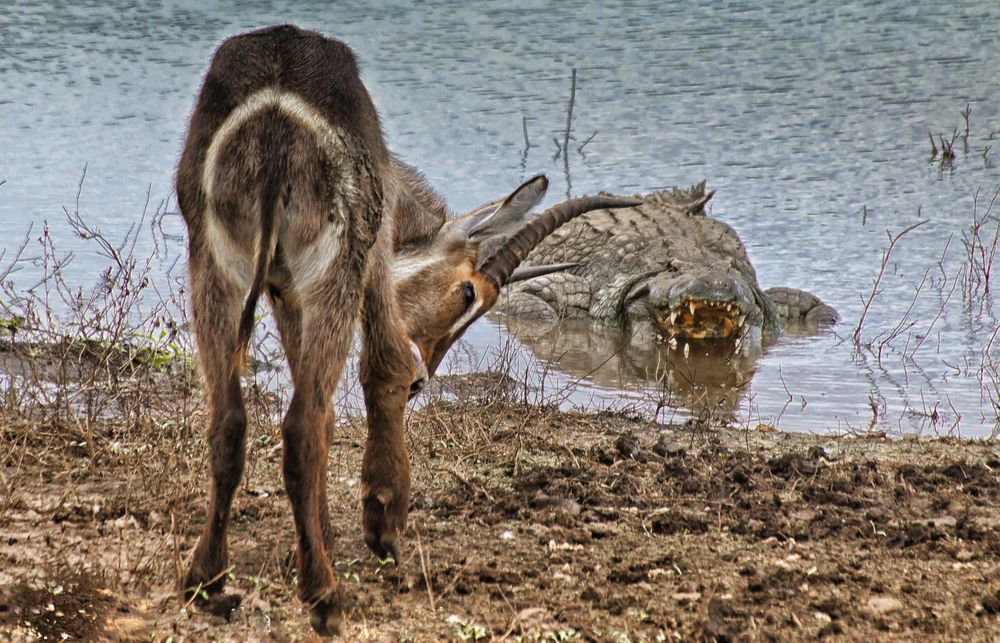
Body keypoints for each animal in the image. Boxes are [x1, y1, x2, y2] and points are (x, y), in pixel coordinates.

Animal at [176, 23, 636, 632]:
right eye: (469, 292)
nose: (426, 379)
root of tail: (274, 121)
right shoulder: (371, 262)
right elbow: (383, 367)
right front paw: (383, 522)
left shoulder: (284, 291)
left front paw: (325, 534)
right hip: (333, 273)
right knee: (302, 426)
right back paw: (323, 598)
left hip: (219, 273)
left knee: (233, 420)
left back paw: (207, 582)